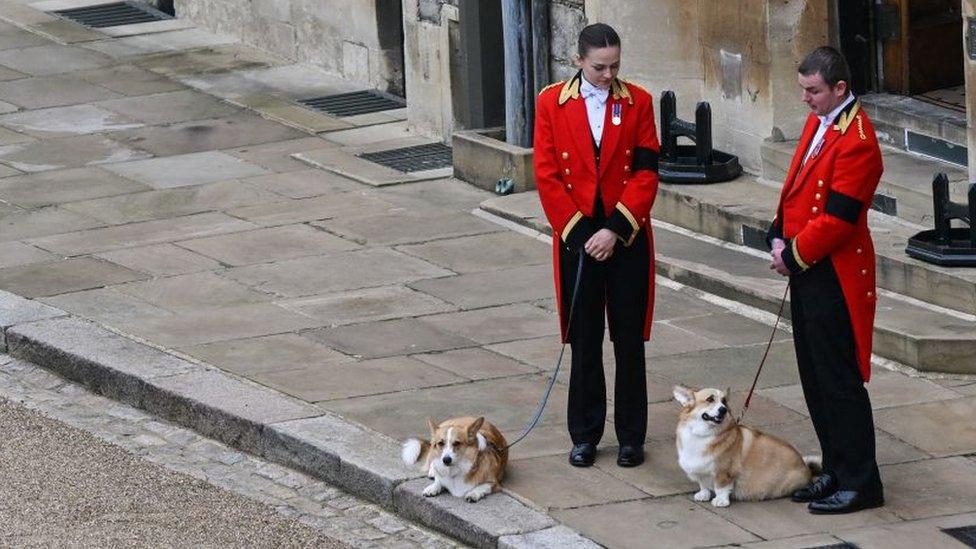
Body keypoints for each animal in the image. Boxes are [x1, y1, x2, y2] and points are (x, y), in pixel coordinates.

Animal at [676, 386, 820, 506]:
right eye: (710, 399)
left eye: (724, 401)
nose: (723, 409)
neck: (703, 434)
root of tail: (806, 467)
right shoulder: (700, 470)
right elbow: (703, 484)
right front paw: (704, 494)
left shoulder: (724, 473)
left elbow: (721, 487)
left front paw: (721, 501)